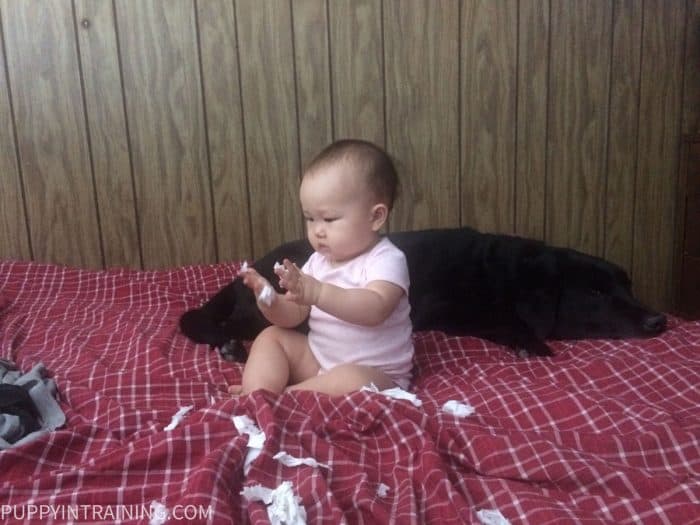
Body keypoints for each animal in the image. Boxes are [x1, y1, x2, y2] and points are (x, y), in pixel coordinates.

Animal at [178, 227, 664, 358]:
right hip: (268, 311)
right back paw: (228, 345)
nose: (659, 319)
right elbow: (503, 320)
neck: (513, 274)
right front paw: (531, 343)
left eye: (628, 284)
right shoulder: (454, 309)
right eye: (596, 293)